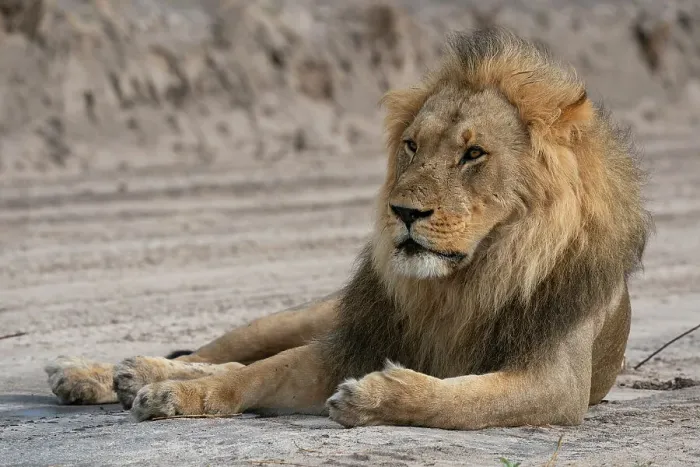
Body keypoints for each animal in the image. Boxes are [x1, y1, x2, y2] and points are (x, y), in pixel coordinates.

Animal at [45, 28, 651, 429]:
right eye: (412, 146)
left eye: (473, 154)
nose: (403, 213)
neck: (464, 283)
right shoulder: (351, 339)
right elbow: (254, 373)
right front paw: (173, 394)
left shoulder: (556, 385)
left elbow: (461, 400)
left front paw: (375, 397)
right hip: (308, 314)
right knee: (226, 350)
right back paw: (104, 373)